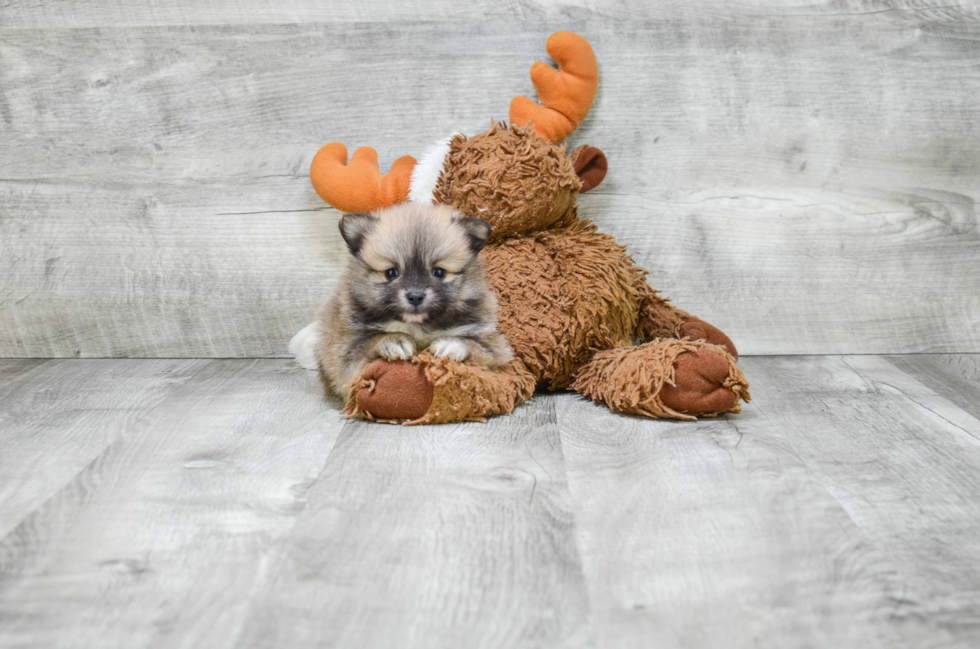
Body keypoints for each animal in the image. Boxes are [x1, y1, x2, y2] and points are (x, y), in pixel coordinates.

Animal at [314, 202, 512, 398]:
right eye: (391, 272)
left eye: (439, 272)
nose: (415, 296)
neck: (417, 326)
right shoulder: (345, 355)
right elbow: (369, 343)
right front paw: (393, 341)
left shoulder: (495, 349)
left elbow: (476, 347)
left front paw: (451, 344)